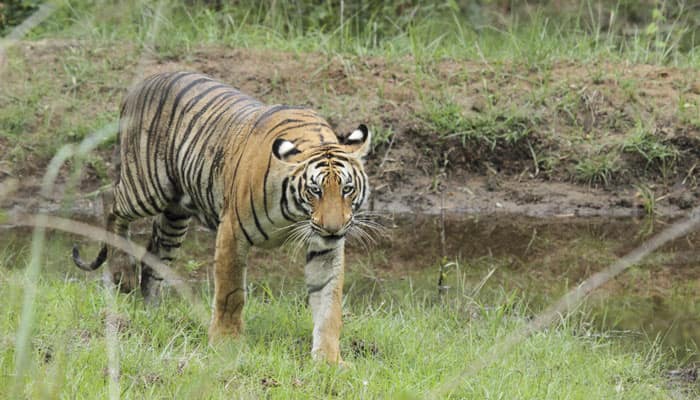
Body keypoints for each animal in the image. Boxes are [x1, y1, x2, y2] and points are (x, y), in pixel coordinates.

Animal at [72, 71, 372, 362]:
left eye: (346, 189)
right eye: (315, 190)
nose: (333, 228)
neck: (295, 214)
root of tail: (141, 82)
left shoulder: (325, 248)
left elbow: (329, 303)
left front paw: (329, 359)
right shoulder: (233, 231)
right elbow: (231, 292)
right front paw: (225, 342)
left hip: (174, 216)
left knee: (154, 256)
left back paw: (151, 309)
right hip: (146, 188)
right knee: (111, 205)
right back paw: (121, 273)